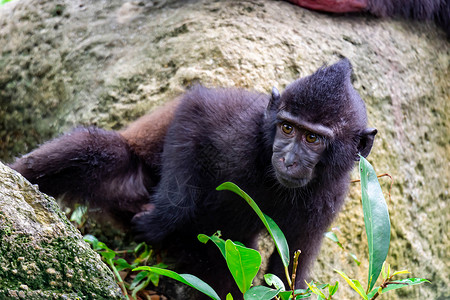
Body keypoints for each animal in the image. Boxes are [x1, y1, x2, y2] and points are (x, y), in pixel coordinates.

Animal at [11, 58, 376, 298]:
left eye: (312, 138)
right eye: (287, 128)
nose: (287, 159)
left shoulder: (330, 197)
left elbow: (289, 270)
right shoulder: (241, 130)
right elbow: (194, 112)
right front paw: (161, 218)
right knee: (95, 149)